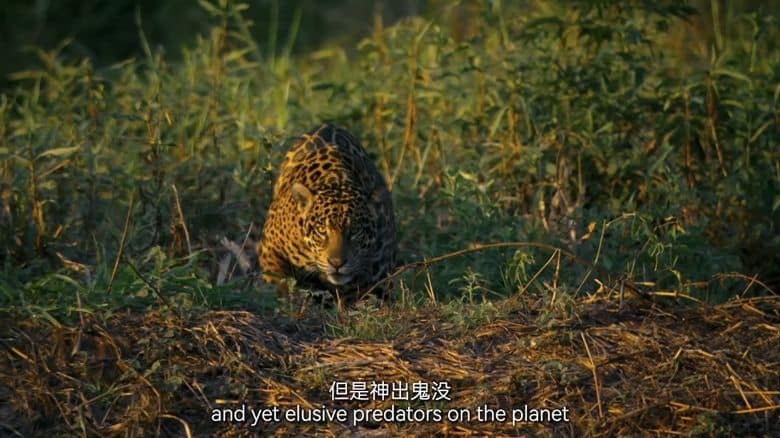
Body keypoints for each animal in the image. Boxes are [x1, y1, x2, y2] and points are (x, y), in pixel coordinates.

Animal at [258, 123, 396, 303]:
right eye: (322, 230)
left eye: (354, 232)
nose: (337, 263)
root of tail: (328, 124)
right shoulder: (270, 247)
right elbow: (278, 277)